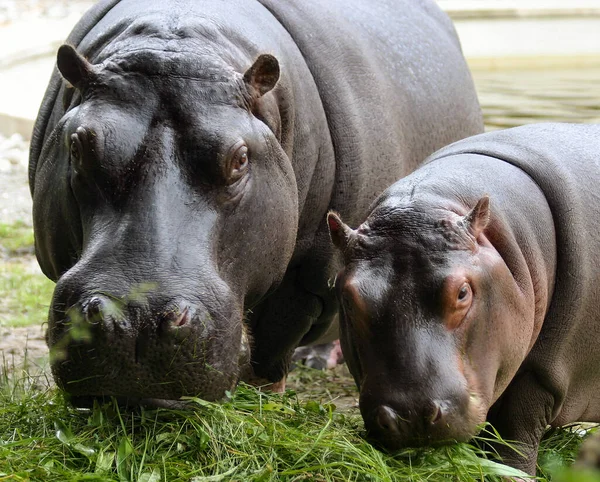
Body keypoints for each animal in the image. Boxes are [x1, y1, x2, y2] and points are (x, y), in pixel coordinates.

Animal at [30, 0, 486, 402]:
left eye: (240, 158)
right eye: (78, 145)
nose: (136, 320)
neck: (183, 38)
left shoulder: (311, 274)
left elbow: (276, 331)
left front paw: (260, 392)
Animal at [326, 122, 600, 472]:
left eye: (463, 292)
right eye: (348, 299)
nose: (411, 415)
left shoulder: (542, 372)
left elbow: (518, 430)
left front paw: (512, 473)